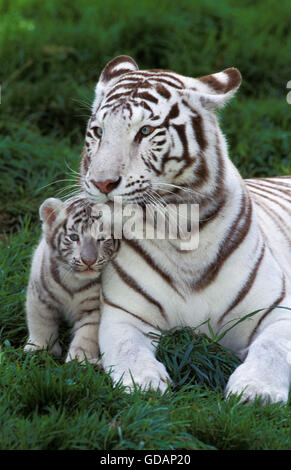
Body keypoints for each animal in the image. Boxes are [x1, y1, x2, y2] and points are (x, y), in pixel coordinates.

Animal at [24, 195, 120, 364]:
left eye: (102, 238)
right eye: (74, 237)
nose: (89, 260)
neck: (74, 281)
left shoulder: (93, 309)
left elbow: (86, 335)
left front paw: (80, 360)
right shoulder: (39, 297)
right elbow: (40, 323)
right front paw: (40, 349)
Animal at [80, 56, 291, 404]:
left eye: (146, 131)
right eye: (98, 131)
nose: (102, 183)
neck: (182, 231)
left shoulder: (277, 310)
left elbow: (273, 348)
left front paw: (256, 390)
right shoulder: (125, 314)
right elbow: (126, 348)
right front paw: (144, 382)